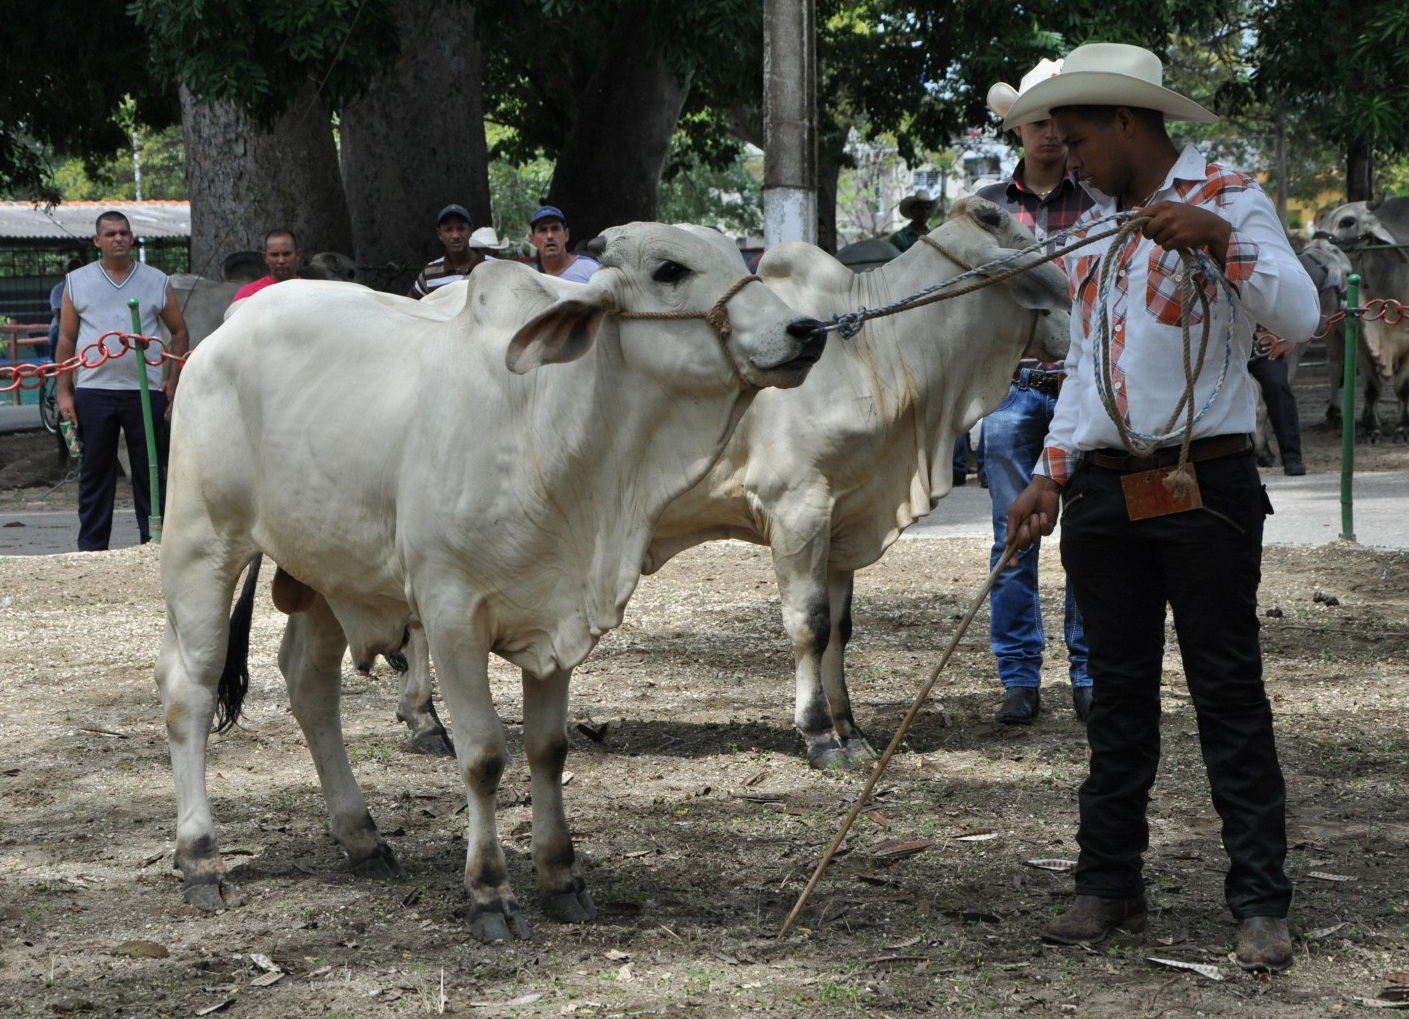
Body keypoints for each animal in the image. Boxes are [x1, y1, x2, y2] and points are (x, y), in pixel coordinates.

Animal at [155, 222, 828, 941]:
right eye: (670, 270)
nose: (806, 329)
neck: (546, 428)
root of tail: (227, 327)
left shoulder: (560, 618)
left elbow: (548, 748)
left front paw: (561, 877)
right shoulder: (452, 616)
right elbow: (483, 756)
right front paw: (490, 891)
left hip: (329, 571)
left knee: (309, 683)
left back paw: (361, 835)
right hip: (200, 546)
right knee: (190, 688)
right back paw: (200, 857)